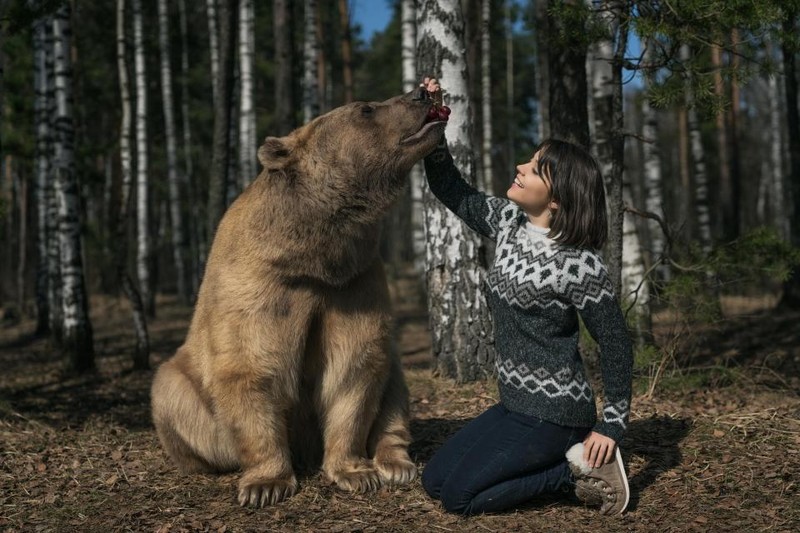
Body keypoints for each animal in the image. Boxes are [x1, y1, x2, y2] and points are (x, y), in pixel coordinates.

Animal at [152, 88, 444, 508]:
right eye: (366, 109)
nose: (421, 93)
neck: (315, 254)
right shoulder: (264, 287)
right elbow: (250, 366)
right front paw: (265, 484)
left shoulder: (353, 284)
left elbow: (354, 368)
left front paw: (357, 472)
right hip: (185, 391)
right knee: (171, 394)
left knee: (394, 388)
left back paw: (395, 463)